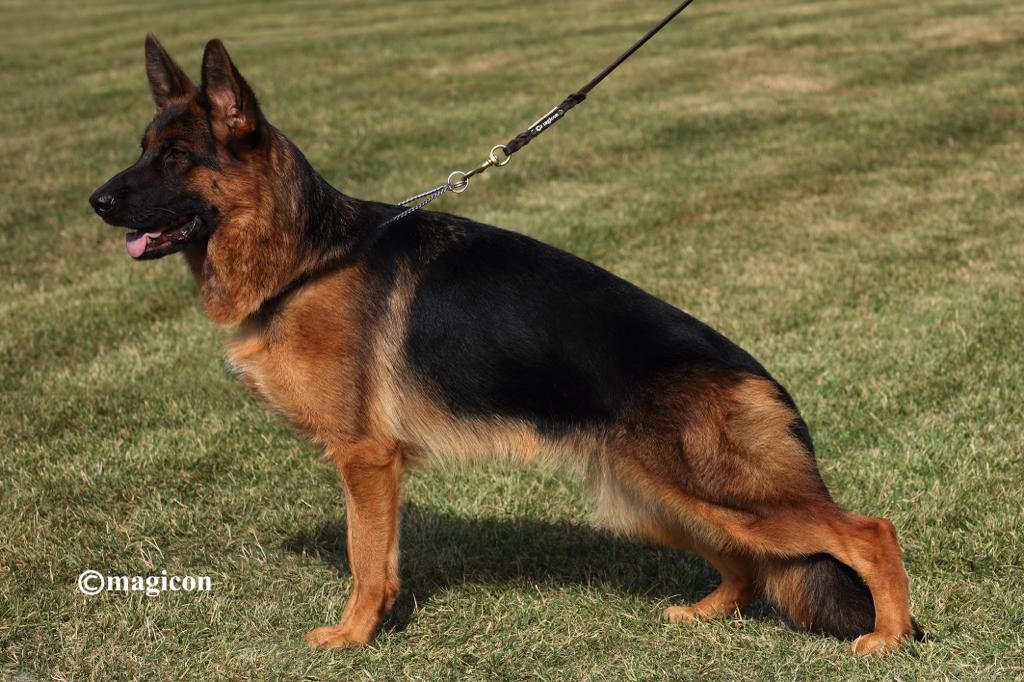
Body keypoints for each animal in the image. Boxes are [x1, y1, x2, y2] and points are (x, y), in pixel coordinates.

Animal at [90, 35, 922, 655]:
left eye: (175, 158)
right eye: (141, 148)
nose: (95, 200)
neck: (307, 257)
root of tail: (761, 379)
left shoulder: (366, 461)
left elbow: (365, 560)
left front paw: (353, 637)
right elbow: (378, 558)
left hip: (717, 493)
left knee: (869, 532)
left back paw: (885, 636)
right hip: (650, 496)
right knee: (746, 562)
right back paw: (710, 612)